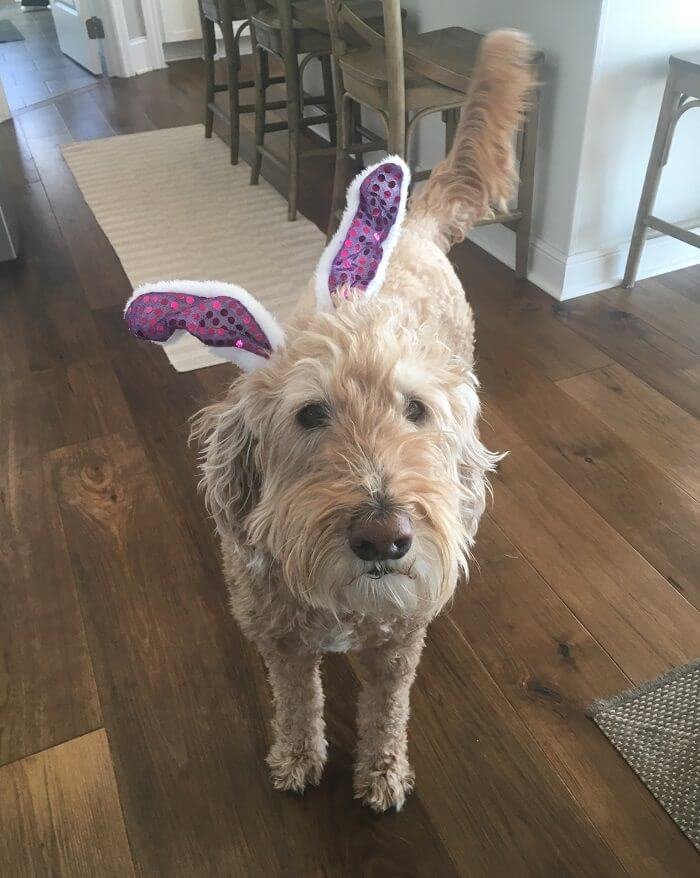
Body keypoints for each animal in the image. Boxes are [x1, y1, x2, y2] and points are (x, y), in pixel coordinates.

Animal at [123, 25, 532, 812]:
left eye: (415, 409)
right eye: (311, 414)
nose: (384, 536)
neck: (344, 607)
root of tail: (413, 222)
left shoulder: (398, 648)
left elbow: (387, 712)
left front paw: (381, 771)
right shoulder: (280, 643)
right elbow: (295, 701)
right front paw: (295, 757)